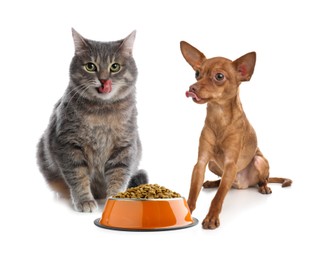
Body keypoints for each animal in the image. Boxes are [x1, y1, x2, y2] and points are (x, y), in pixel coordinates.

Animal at [36, 28, 147, 212]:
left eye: (114, 67)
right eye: (90, 66)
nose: (103, 80)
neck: (102, 111)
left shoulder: (124, 147)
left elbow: (119, 176)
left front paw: (115, 200)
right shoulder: (69, 144)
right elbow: (78, 176)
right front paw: (84, 200)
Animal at [179, 40, 292, 230]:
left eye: (219, 76)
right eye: (197, 73)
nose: (191, 88)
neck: (219, 117)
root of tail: (242, 185)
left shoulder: (231, 164)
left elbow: (218, 198)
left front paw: (211, 218)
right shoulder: (201, 163)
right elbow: (193, 192)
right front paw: (187, 211)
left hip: (258, 161)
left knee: (261, 179)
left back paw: (264, 187)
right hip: (213, 165)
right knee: (224, 184)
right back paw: (212, 183)